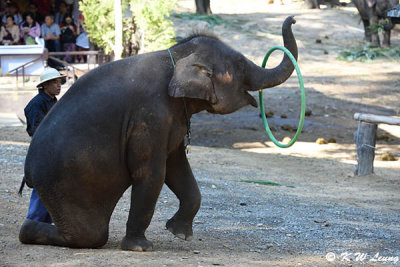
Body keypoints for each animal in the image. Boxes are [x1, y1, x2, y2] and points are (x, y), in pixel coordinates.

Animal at [18, 15, 298, 252]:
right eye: (239, 66)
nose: (293, 19)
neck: (175, 55)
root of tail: (28, 171)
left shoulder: (171, 120)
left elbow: (176, 166)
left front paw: (179, 233)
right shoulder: (149, 115)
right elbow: (151, 173)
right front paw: (140, 247)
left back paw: (27, 230)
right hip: (65, 184)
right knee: (90, 234)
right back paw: (29, 230)